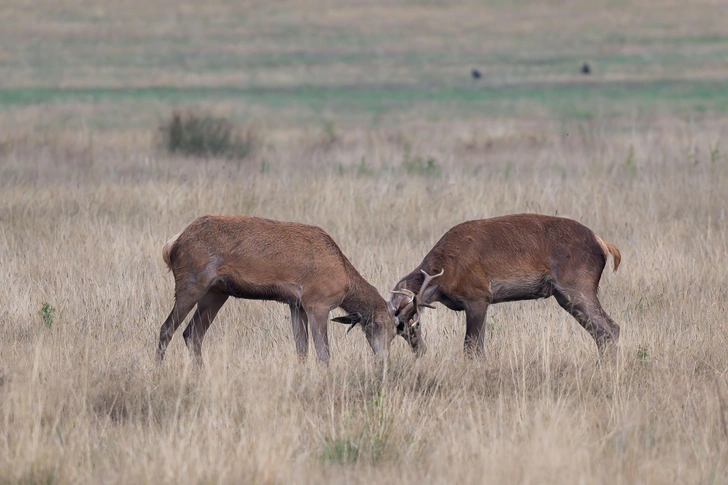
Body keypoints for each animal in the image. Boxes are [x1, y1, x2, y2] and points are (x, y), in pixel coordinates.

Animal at [156, 214, 400, 364]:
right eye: (377, 325)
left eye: (395, 333)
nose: (384, 360)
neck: (345, 282)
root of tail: (171, 245)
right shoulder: (317, 302)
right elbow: (324, 353)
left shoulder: (296, 304)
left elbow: (302, 350)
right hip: (192, 281)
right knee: (167, 328)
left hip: (217, 292)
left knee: (192, 333)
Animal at [390, 214, 624, 358]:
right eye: (398, 331)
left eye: (415, 323)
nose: (420, 351)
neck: (445, 274)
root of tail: (603, 243)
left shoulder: (478, 296)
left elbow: (472, 348)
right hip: (564, 296)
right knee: (601, 331)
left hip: (578, 286)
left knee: (610, 328)